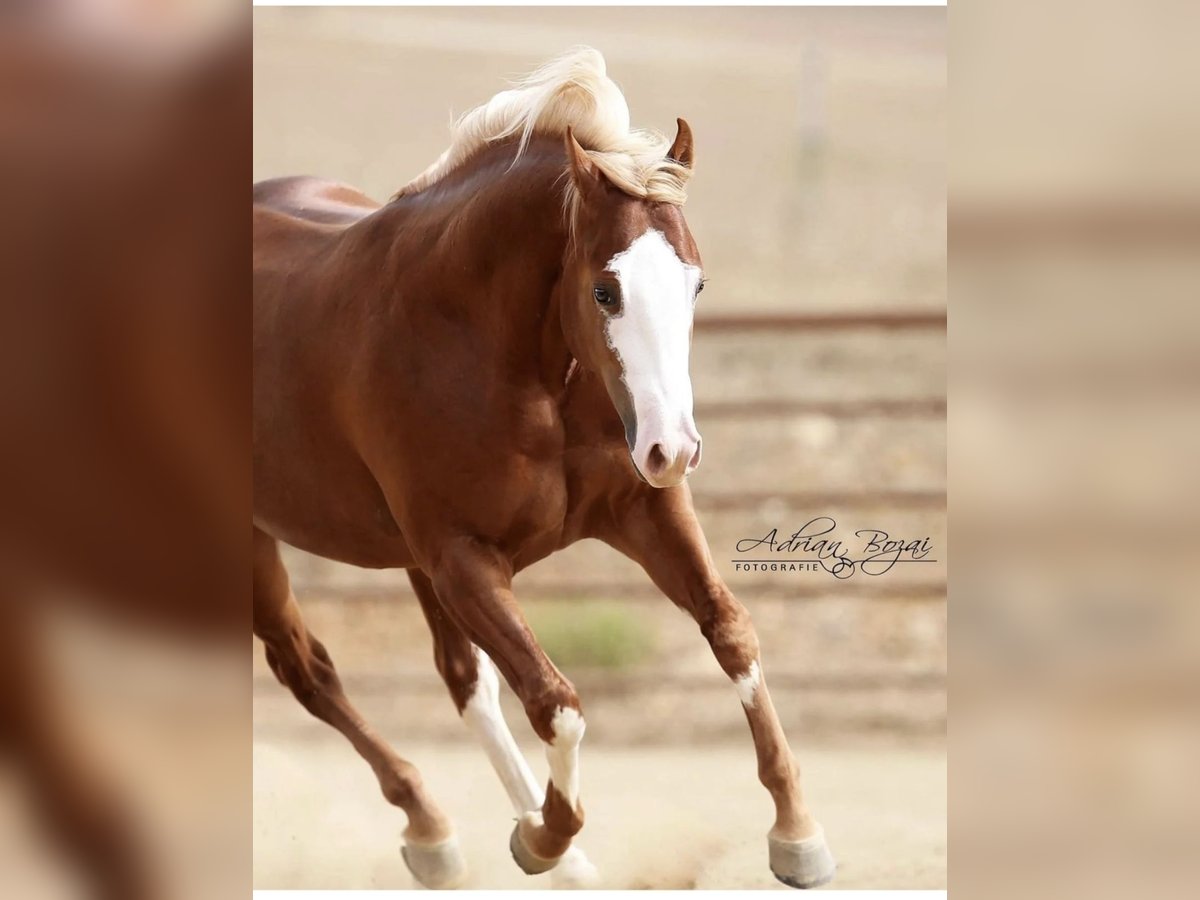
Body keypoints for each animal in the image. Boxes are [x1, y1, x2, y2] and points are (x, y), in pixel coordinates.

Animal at [252, 47, 835, 890]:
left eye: (695, 282)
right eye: (605, 289)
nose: (675, 448)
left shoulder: (641, 510)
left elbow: (730, 631)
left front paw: (797, 834)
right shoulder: (464, 561)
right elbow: (557, 704)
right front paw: (544, 838)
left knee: (460, 680)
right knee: (310, 671)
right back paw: (434, 830)